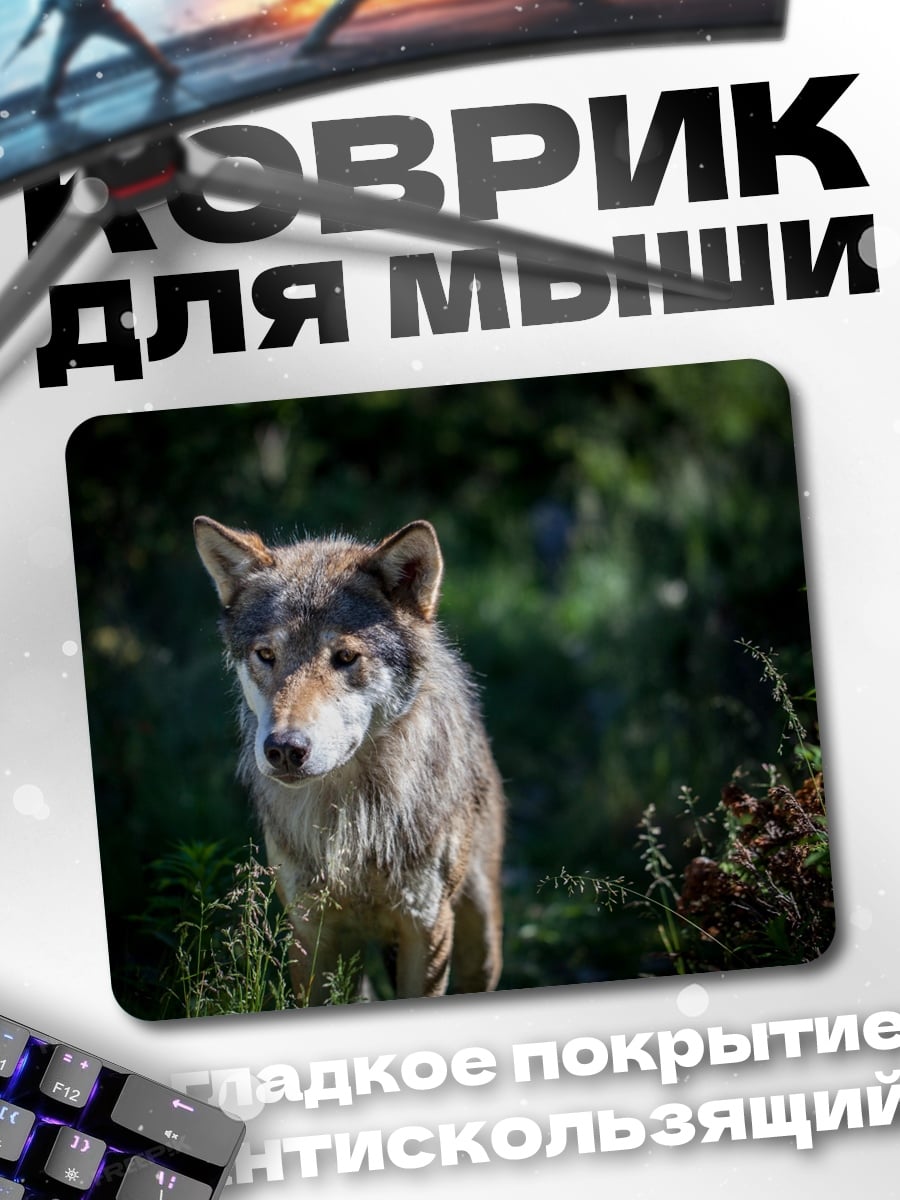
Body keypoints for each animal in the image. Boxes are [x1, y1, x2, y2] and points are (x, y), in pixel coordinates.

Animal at [193, 515, 505, 1004]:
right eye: (266, 655)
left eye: (344, 657)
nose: (285, 749)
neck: (355, 819)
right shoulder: (310, 930)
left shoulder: (426, 927)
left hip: (481, 941)